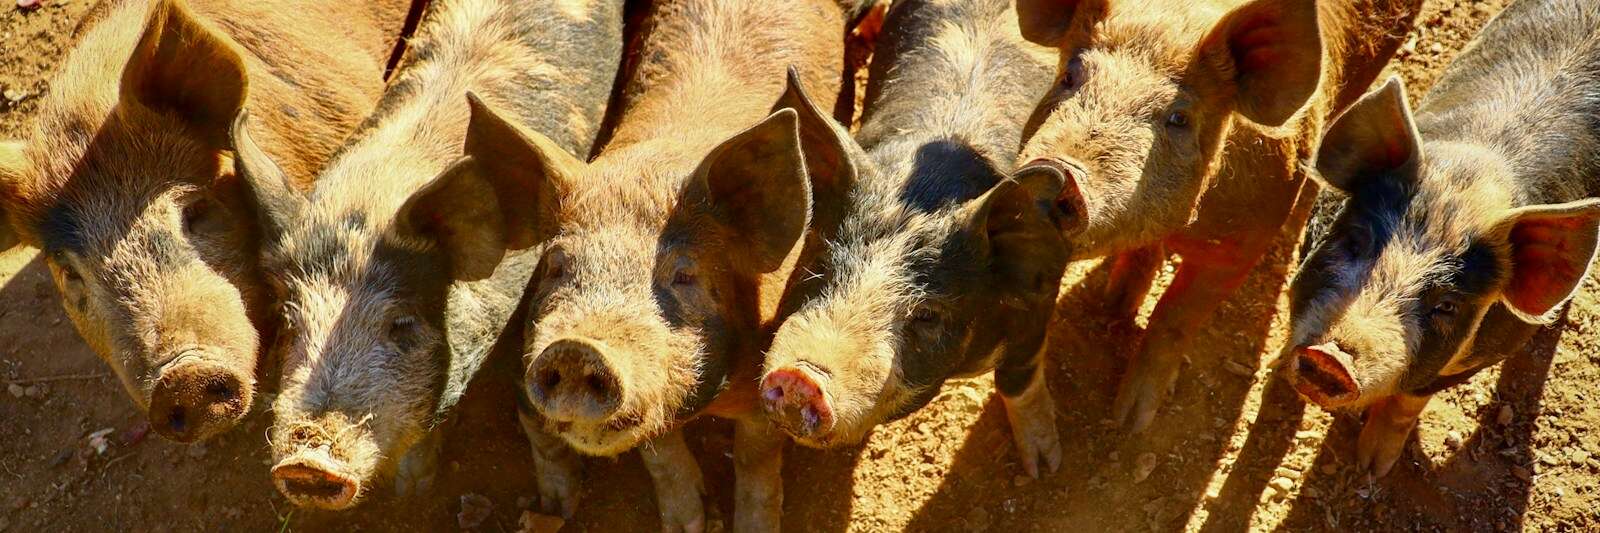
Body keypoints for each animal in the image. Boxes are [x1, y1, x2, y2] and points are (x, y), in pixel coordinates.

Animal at [755, 0, 1081, 476]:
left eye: (927, 314)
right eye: (819, 270)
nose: (801, 378)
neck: (928, 188)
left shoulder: (1043, 288)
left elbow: (1018, 376)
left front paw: (1045, 467)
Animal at [1011, 0, 1427, 428]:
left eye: (1179, 118)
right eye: (1068, 76)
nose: (1052, 171)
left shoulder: (1244, 243)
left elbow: (1175, 317)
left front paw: (1133, 421)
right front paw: (1113, 303)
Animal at [1280, 0, 1600, 473]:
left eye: (1447, 305)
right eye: (1354, 242)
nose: (1331, 359)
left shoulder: (1491, 347)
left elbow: (1407, 401)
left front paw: (1372, 467)